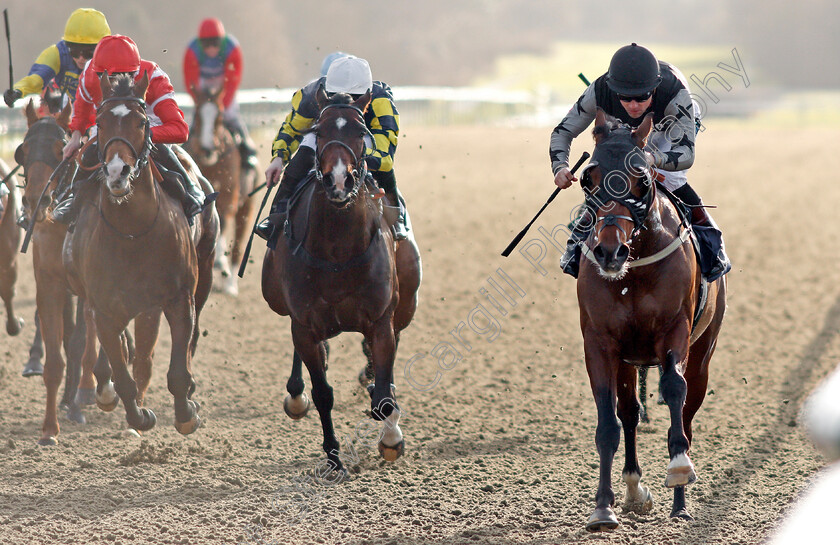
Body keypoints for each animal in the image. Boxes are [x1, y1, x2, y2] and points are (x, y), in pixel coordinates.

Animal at [64, 73, 218, 438]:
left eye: (142, 121)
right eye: (100, 123)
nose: (117, 172)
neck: (133, 231)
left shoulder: (177, 298)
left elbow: (178, 367)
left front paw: (186, 413)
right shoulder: (105, 308)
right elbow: (122, 374)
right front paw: (139, 415)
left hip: (203, 273)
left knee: (188, 339)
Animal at [186, 86, 256, 296]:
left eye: (218, 116)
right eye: (197, 114)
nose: (207, 149)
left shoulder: (228, 200)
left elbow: (224, 222)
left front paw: (220, 263)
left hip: (247, 208)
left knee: (238, 248)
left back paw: (231, 284)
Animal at [260, 89, 420, 472]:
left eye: (361, 131)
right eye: (319, 129)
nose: (337, 180)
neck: (337, 251)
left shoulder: (380, 320)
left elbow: (384, 396)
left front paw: (390, 438)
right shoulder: (304, 324)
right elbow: (323, 393)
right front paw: (333, 457)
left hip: (406, 303)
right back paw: (297, 393)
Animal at [576, 108, 724, 528]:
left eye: (641, 179)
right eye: (588, 178)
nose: (610, 252)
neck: (635, 270)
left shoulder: (674, 332)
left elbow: (674, 390)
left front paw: (679, 468)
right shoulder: (600, 344)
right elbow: (608, 422)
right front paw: (604, 506)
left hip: (703, 352)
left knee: (686, 412)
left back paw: (680, 502)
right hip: (628, 361)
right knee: (628, 414)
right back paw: (633, 490)